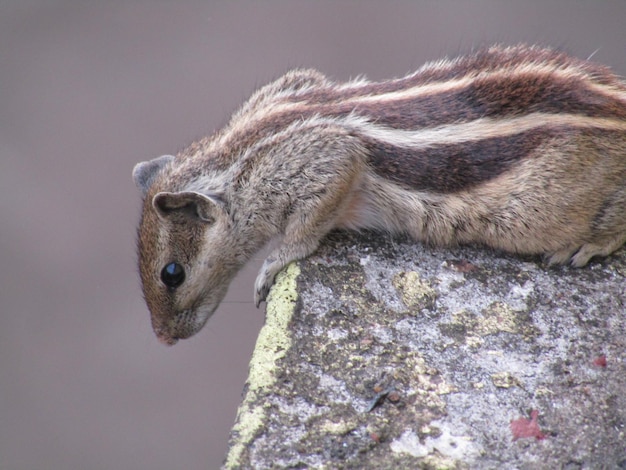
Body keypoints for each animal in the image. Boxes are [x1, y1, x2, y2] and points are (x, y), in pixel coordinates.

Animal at [132, 45, 624, 346]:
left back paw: (589, 244)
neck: (239, 152)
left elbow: (308, 225)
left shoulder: (323, 160)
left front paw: (273, 264)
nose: (162, 338)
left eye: (171, 274)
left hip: (541, 210)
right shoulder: (293, 83)